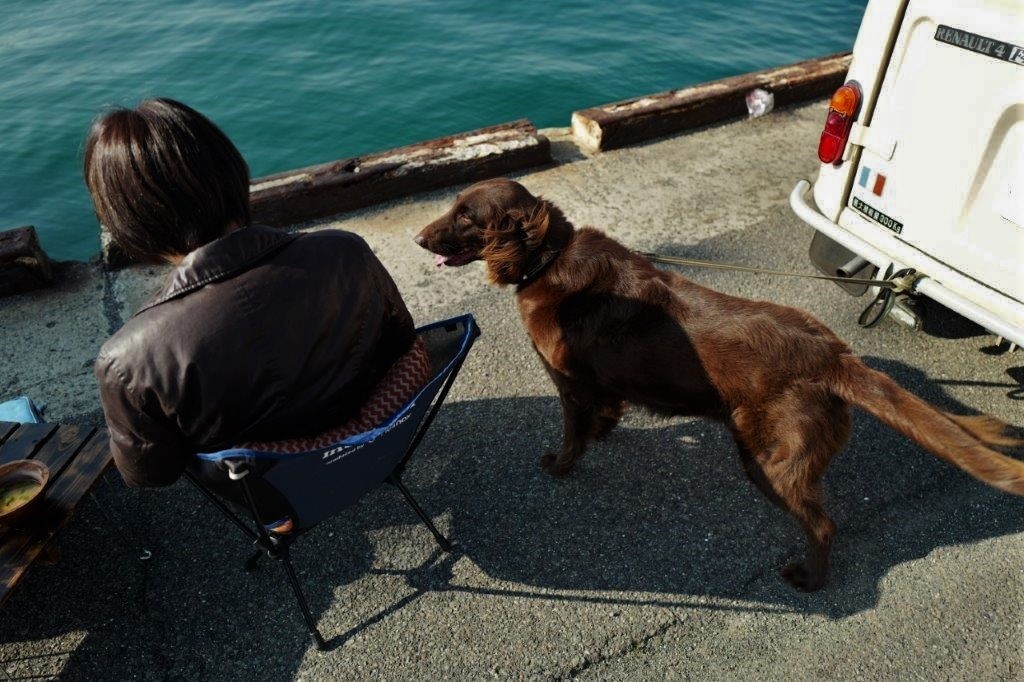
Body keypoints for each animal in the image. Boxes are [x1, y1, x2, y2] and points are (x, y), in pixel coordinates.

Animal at [413, 178, 1024, 585]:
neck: (549, 257)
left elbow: (571, 434)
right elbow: (605, 415)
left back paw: (808, 579)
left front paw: (559, 466)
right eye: (453, 207)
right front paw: (604, 434)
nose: (418, 239)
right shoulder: (599, 386)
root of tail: (834, 356)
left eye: (467, 216)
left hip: (769, 460)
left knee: (823, 526)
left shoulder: (569, 383)